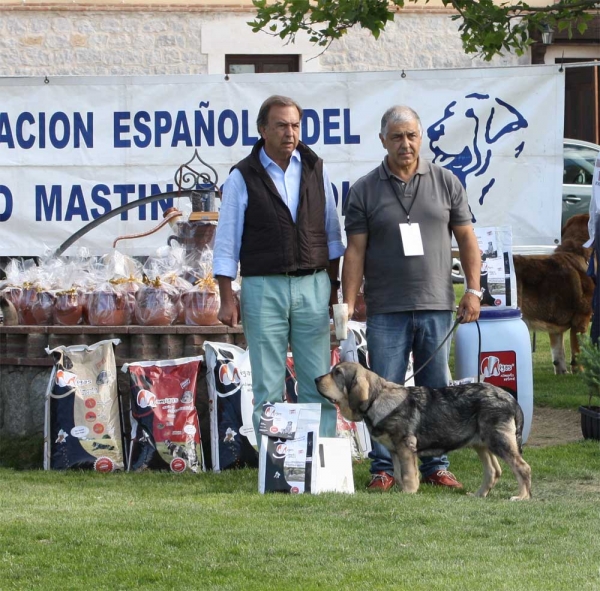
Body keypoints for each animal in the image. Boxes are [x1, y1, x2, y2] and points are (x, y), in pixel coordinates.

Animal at [314, 364, 528, 502]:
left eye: (337, 373)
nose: (316, 379)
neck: (377, 399)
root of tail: (510, 398)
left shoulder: (406, 447)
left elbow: (409, 474)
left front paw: (409, 493)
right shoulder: (394, 451)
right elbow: (399, 474)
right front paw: (401, 491)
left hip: (499, 441)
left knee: (522, 467)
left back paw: (522, 497)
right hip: (481, 443)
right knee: (493, 471)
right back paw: (478, 495)